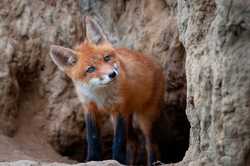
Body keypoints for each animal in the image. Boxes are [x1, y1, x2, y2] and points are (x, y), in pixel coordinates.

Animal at [49, 16, 165, 165]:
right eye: (90, 69)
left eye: (107, 58)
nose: (112, 74)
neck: (100, 95)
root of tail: (155, 63)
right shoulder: (90, 108)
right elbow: (92, 138)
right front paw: (92, 159)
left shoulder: (119, 110)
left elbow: (119, 141)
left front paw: (117, 159)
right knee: (133, 141)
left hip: (145, 118)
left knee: (151, 144)